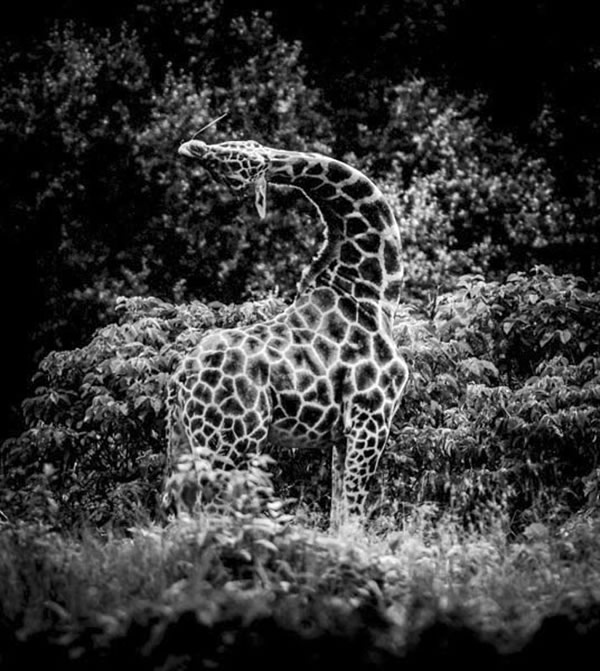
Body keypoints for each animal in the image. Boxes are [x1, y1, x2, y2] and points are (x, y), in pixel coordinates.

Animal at [164, 136, 408, 524]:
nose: (194, 146)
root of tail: (180, 379)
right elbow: (353, 517)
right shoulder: (371, 416)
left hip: (184, 441)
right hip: (231, 443)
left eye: (237, 154)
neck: (372, 291)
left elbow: (339, 514)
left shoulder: (343, 433)